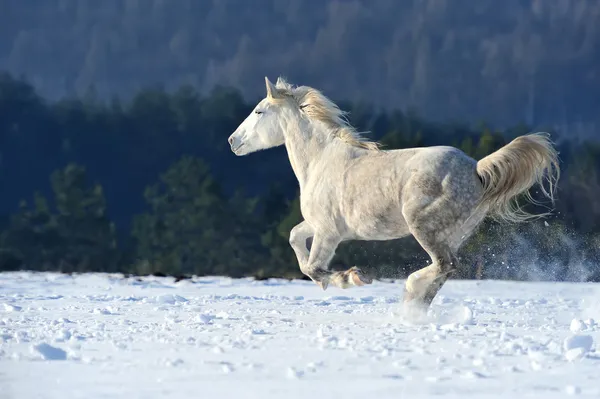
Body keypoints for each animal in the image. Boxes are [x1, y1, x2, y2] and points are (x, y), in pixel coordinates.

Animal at [227, 76, 560, 310]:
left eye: (258, 111)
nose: (232, 141)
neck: (320, 161)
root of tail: (477, 170)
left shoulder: (328, 232)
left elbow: (313, 266)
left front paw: (352, 277)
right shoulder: (319, 225)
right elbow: (295, 239)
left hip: (424, 226)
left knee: (445, 265)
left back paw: (410, 291)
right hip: (453, 234)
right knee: (444, 271)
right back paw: (414, 307)